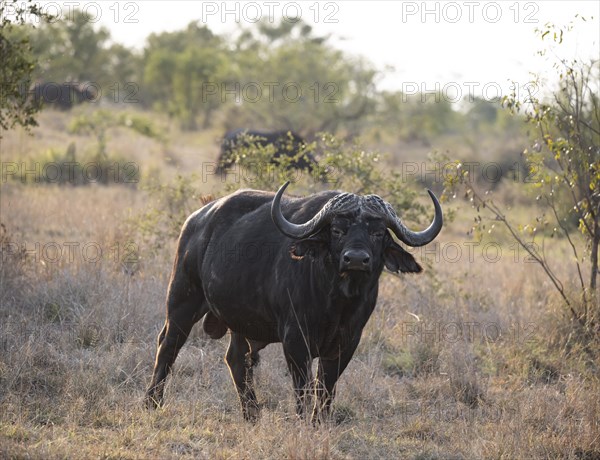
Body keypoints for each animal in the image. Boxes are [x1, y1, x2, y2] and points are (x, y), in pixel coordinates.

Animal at [145, 181, 440, 422]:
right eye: (337, 230)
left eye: (378, 233)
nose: (356, 259)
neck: (338, 302)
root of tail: (197, 219)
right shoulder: (295, 340)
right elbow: (303, 389)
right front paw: (303, 422)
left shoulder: (347, 343)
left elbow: (326, 389)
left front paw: (319, 422)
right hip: (182, 300)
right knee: (168, 346)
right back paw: (152, 402)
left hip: (238, 320)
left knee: (236, 359)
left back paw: (252, 413)